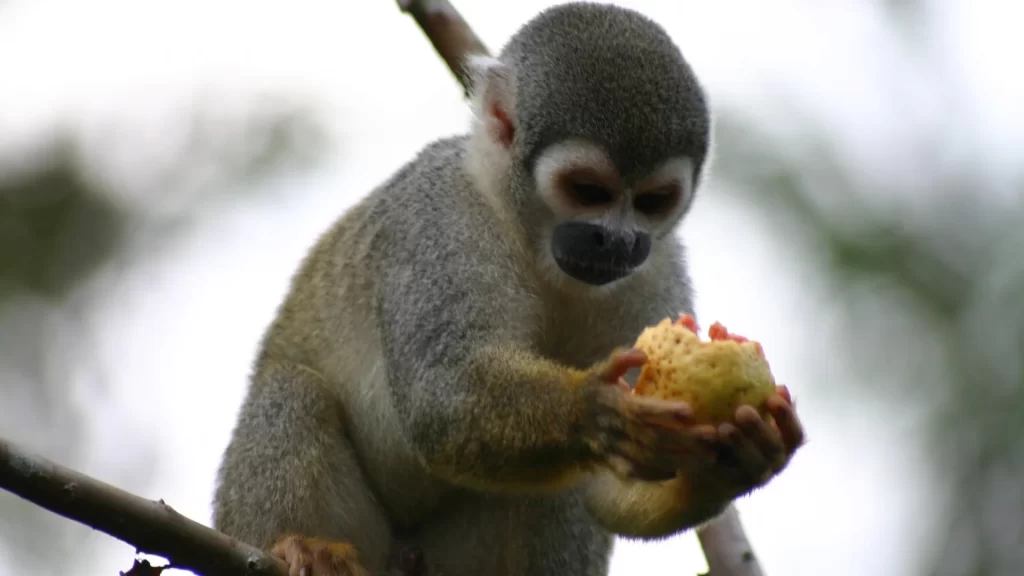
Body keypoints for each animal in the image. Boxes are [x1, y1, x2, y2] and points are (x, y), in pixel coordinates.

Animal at [211, 3, 805, 576]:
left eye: (653, 201)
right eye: (588, 191)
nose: (616, 242)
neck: (533, 239)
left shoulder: (658, 266)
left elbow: (608, 481)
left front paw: (735, 464)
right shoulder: (440, 217)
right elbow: (443, 396)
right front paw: (594, 409)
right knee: (292, 390)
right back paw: (306, 548)